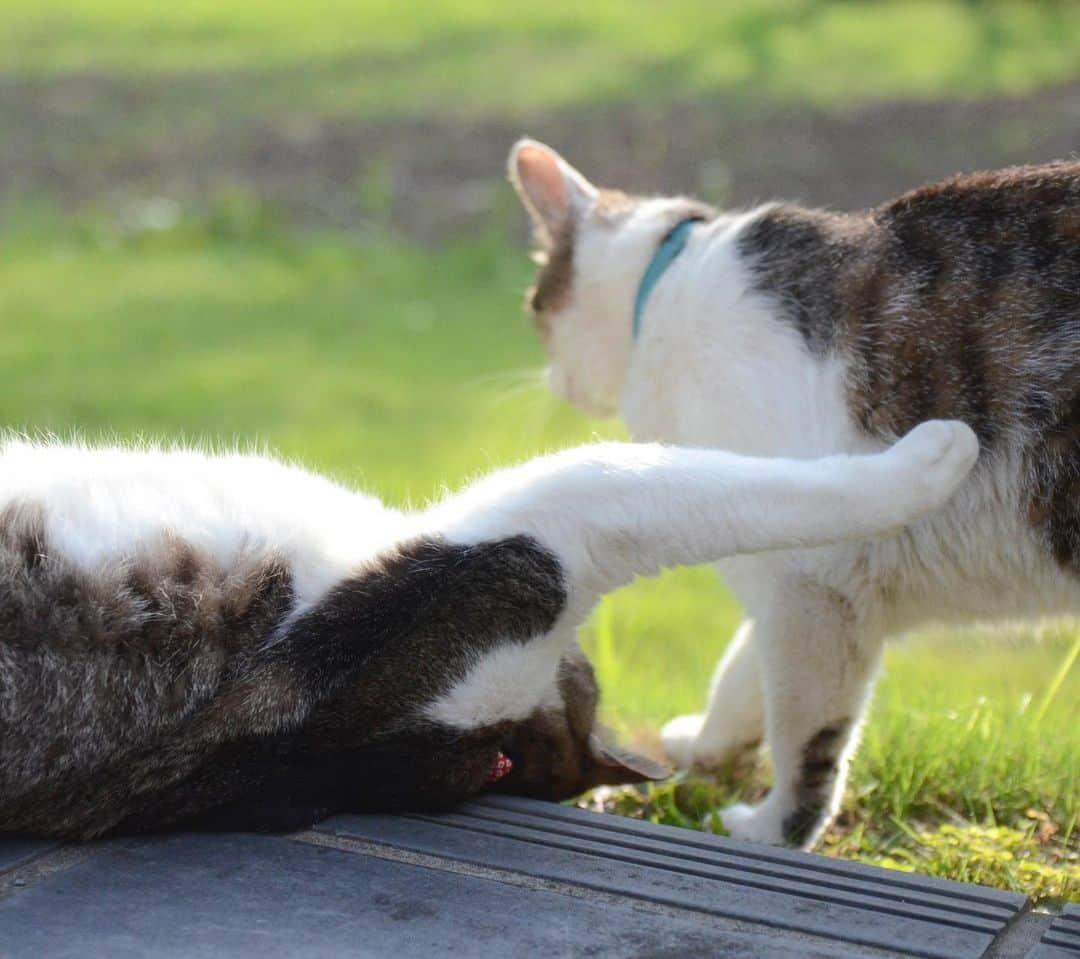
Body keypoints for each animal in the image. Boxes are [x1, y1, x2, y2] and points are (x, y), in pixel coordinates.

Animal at [0, 429, 976, 838]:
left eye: (505, 763)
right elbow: (678, 477)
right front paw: (936, 455)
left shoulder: (536, 548)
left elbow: (669, 478)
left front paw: (935, 455)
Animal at [507, 136, 1080, 846]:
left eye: (535, 308)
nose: (554, 380)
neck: (671, 290)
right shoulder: (784, 575)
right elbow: (742, 673)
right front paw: (707, 743)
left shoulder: (814, 583)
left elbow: (806, 742)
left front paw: (771, 830)